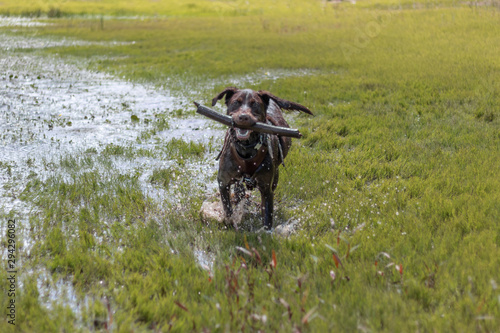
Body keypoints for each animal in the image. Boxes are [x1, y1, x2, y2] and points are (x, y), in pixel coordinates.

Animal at [211, 87, 312, 230]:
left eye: (255, 104)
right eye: (236, 102)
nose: (243, 117)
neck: (247, 150)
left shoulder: (266, 188)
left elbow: (267, 216)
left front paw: (266, 231)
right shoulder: (223, 181)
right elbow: (228, 209)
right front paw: (230, 222)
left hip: (275, 176)